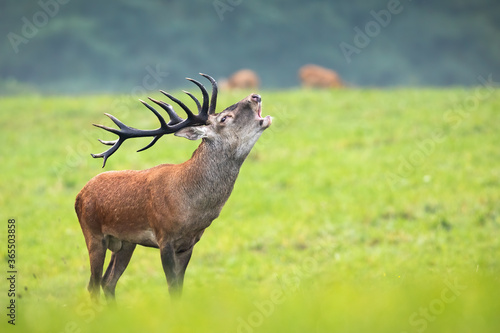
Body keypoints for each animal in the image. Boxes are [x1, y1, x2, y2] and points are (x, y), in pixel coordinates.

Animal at [74, 73, 272, 298]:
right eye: (224, 118)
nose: (255, 96)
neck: (191, 207)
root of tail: (79, 195)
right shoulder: (164, 237)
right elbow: (171, 288)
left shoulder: (189, 243)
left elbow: (179, 288)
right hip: (93, 233)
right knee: (93, 284)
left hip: (126, 242)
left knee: (108, 282)